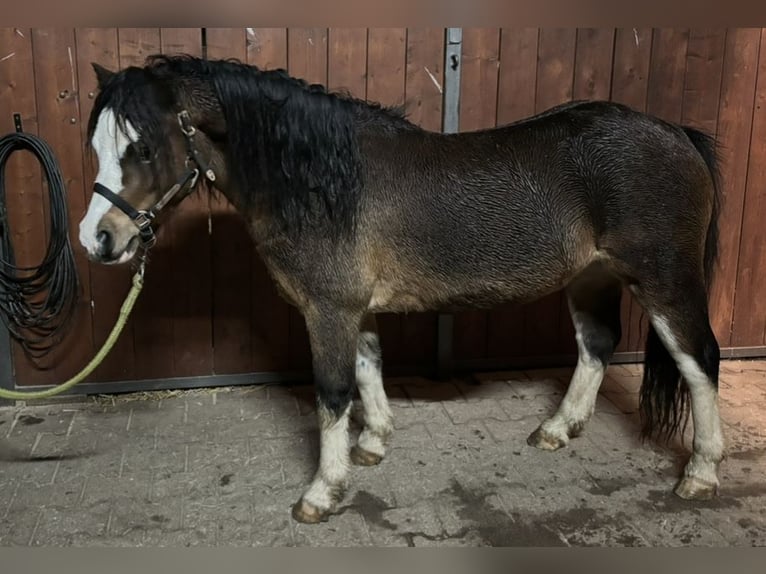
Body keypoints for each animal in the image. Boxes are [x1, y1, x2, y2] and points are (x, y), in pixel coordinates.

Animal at [81, 55, 728, 528]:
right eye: (97, 147)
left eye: (142, 147)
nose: (97, 239)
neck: (322, 180)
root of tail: (677, 133)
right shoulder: (354, 310)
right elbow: (369, 368)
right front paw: (373, 444)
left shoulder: (329, 310)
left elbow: (333, 392)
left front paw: (323, 491)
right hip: (592, 277)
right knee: (596, 344)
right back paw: (557, 429)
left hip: (664, 282)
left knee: (699, 360)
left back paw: (701, 473)